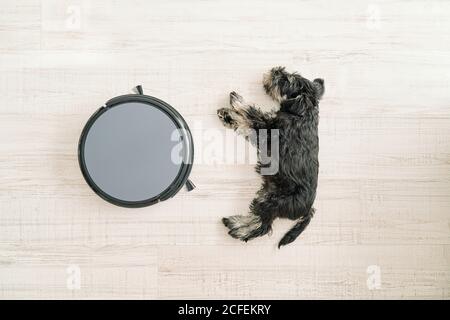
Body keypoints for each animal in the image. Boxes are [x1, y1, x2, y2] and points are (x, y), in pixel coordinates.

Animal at [217, 67, 324, 248]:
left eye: (286, 80)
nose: (275, 70)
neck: (301, 112)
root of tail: (308, 209)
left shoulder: (267, 128)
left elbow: (251, 113)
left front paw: (235, 103)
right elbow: (248, 121)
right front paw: (228, 115)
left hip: (272, 202)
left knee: (262, 225)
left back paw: (235, 226)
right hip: (266, 195)